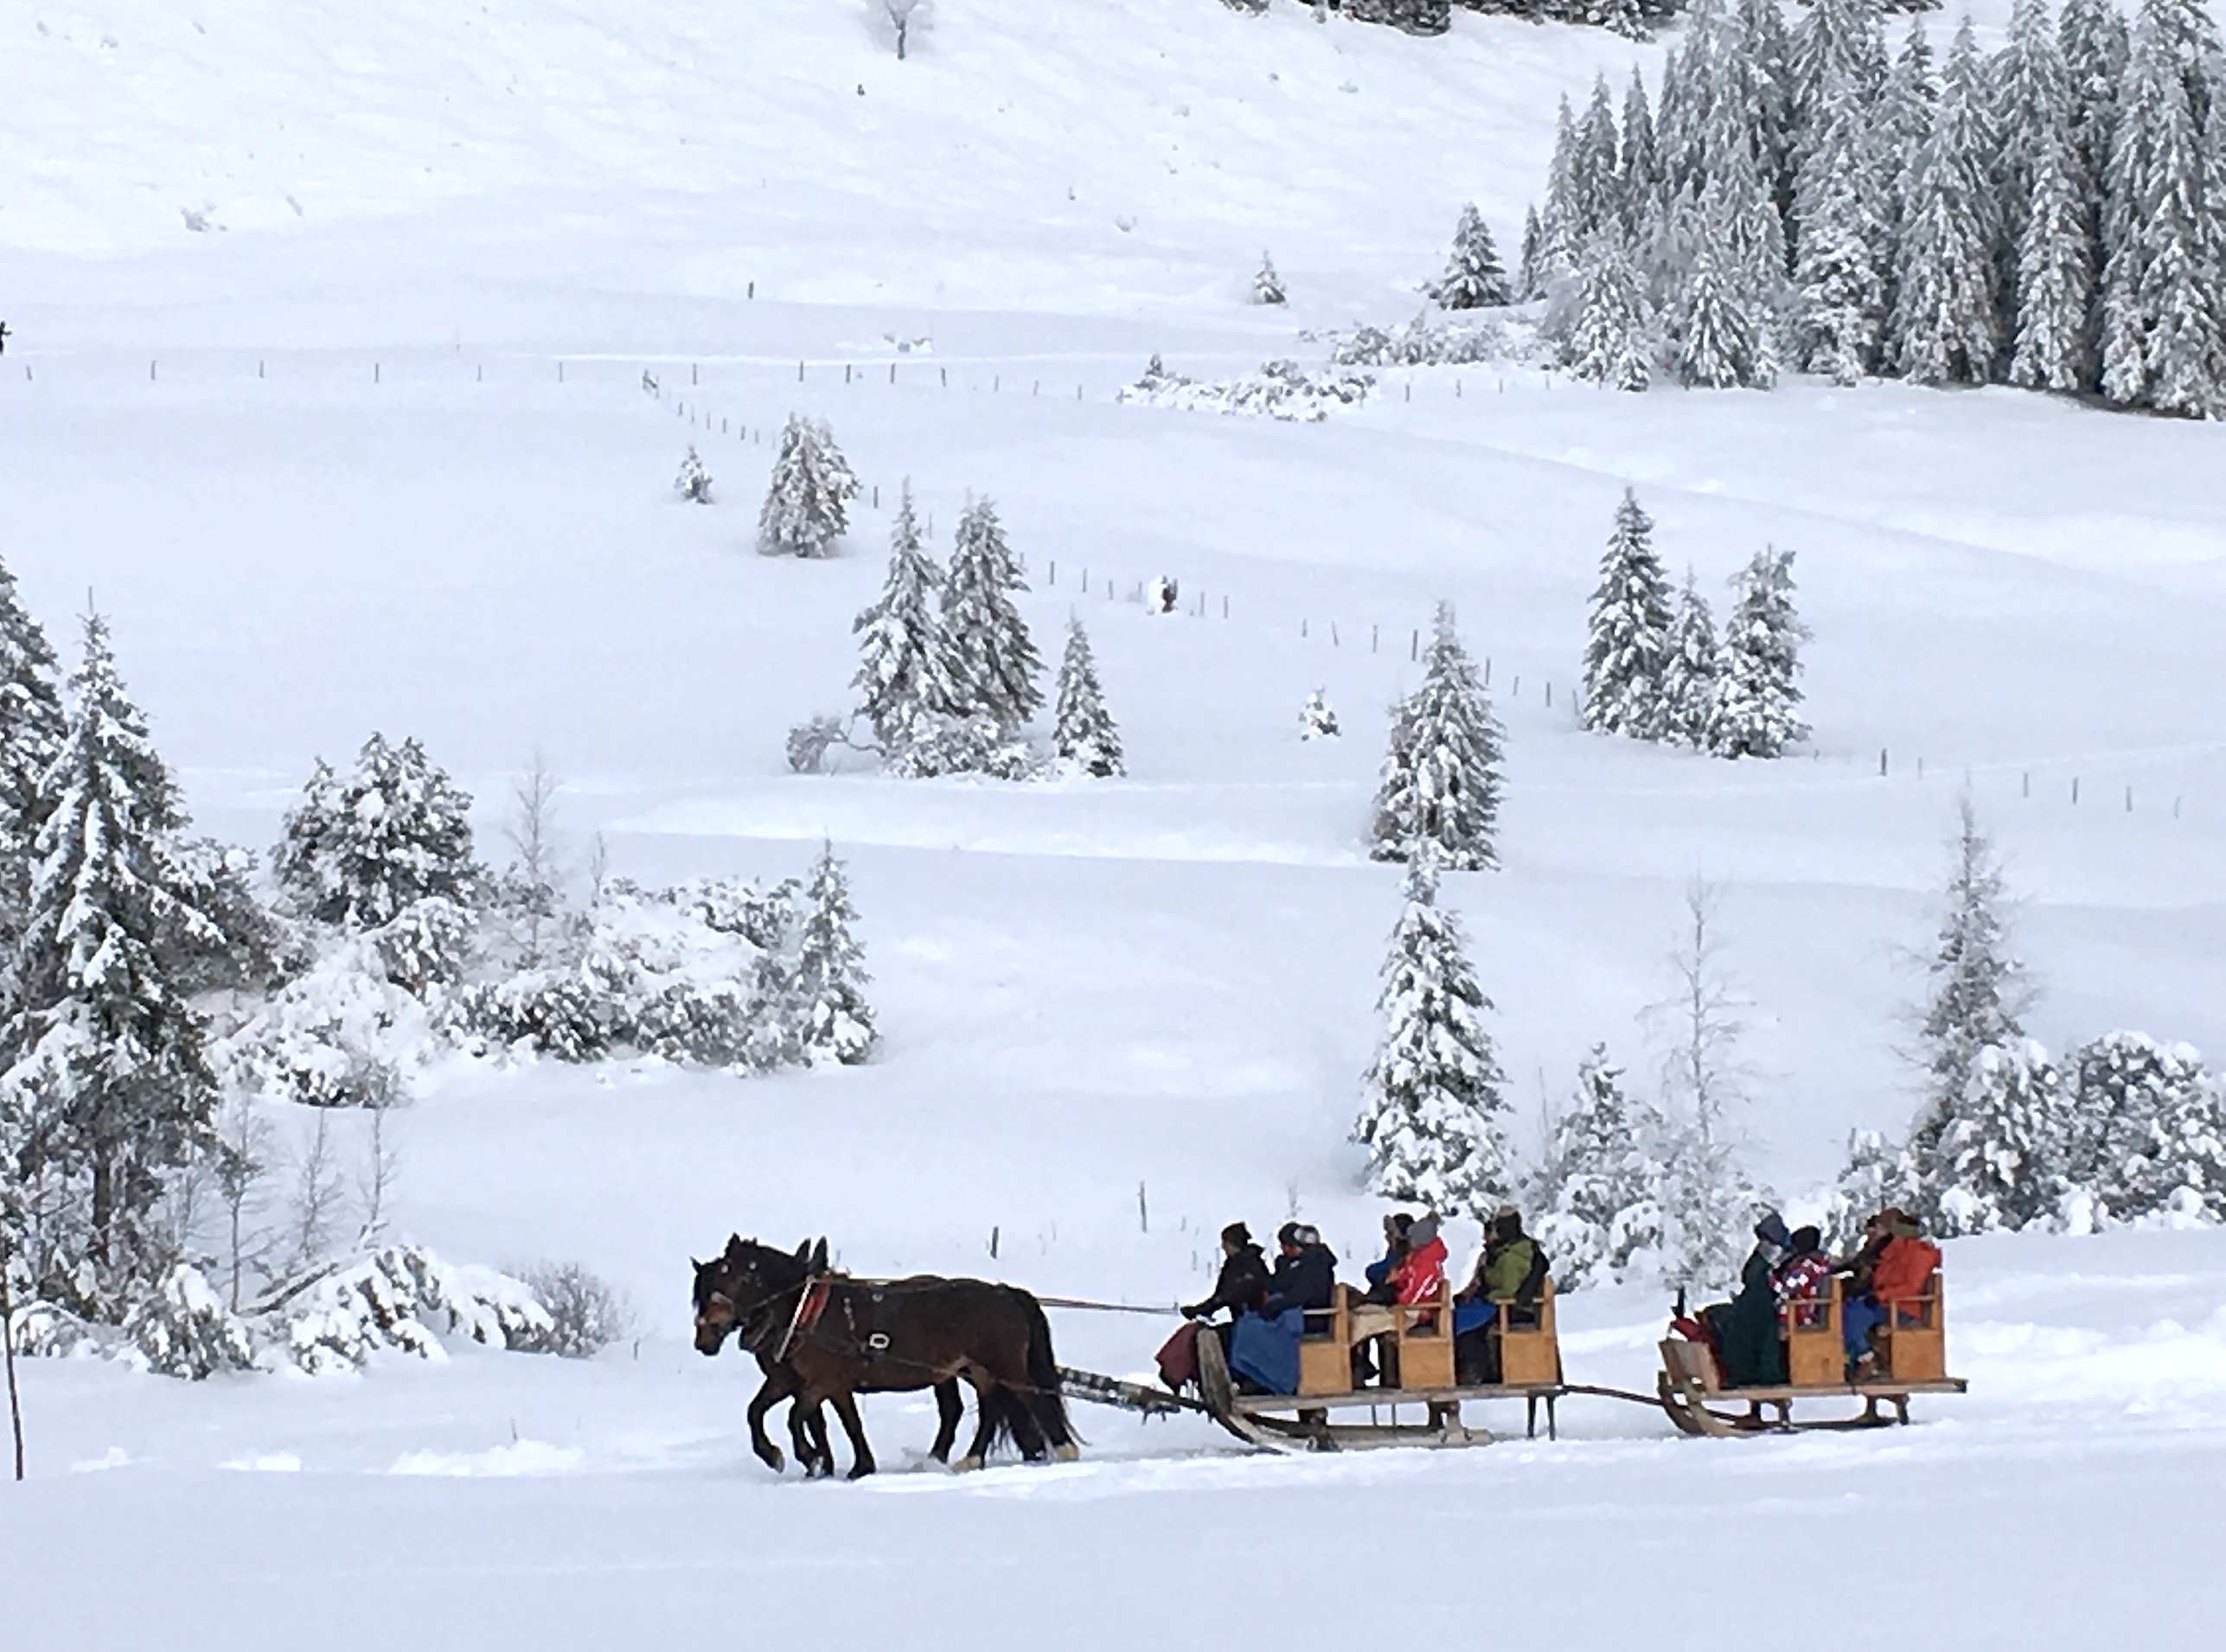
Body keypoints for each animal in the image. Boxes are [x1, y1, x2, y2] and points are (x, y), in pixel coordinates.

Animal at [694, 1238, 1077, 1478]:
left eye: (740, 1276)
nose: (707, 1333)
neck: (805, 1311)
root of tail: (1004, 1293)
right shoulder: (800, 1382)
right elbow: (763, 1412)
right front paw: (812, 1461)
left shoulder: (822, 1382)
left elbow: (798, 1418)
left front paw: (814, 1459)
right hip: (976, 1370)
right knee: (988, 1410)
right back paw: (966, 1460)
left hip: (1004, 1366)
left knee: (1033, 1402)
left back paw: (1064, 1453)